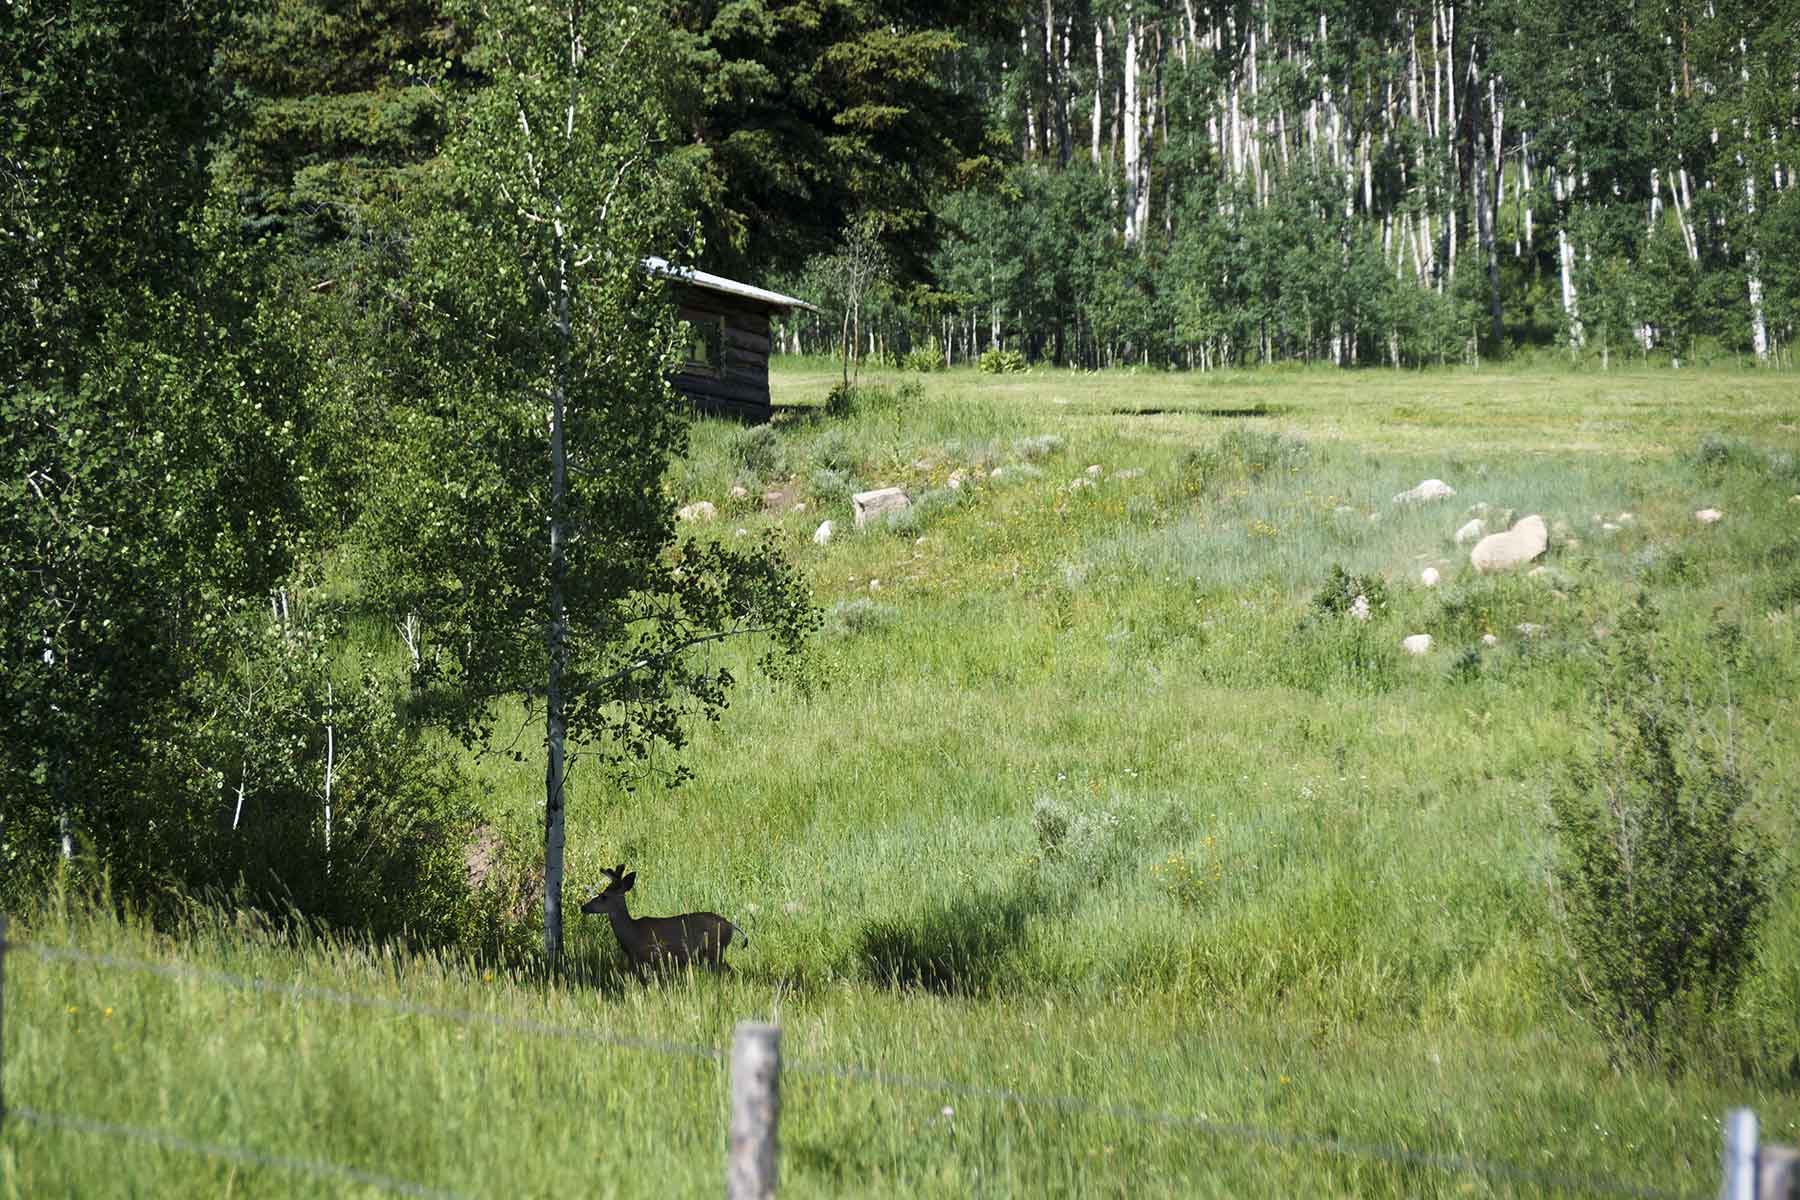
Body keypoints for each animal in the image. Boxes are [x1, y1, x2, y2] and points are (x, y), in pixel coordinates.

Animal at [580, 864, 746, 979]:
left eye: (604, 896)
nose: (583, 907)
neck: (631, 933)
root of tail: (730, 925)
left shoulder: (652, 958)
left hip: (715, 950)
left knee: (731, 972)